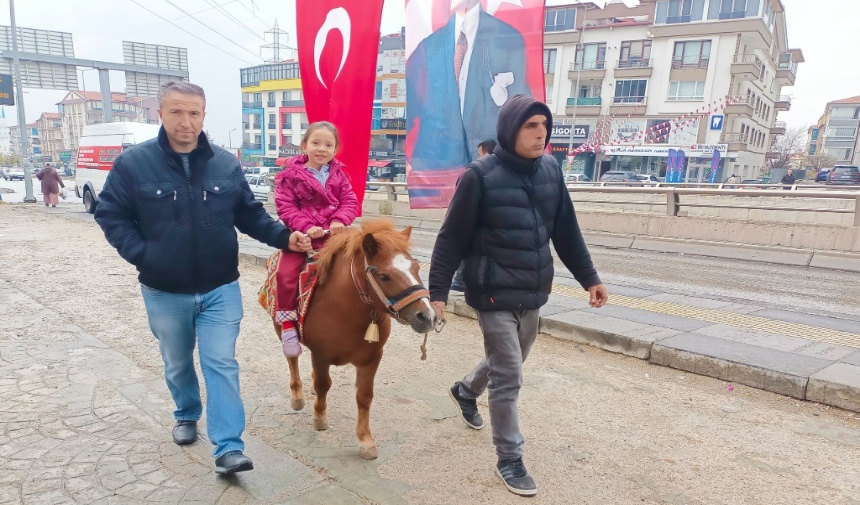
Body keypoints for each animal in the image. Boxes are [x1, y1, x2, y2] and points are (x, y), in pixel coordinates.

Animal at [274, 219, 436, 458]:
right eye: (384, 276)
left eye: (416, 268)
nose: (427, 316)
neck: (343, 310)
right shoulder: (320, 355)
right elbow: (324, 385)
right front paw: (319, 418)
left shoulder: (372, 358)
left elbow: (364, 396)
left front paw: (365, 440)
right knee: (292, 359)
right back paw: (297, 395)